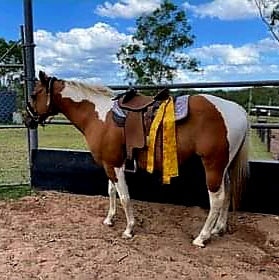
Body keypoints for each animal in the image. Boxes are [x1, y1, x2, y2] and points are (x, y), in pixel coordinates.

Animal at [24, 71, 249, 247]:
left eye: (34, 94)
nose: (27, 120)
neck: (98, 115)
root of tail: (238, 111)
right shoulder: (110, 164)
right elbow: (111, 191)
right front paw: (109, 219)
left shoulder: (114, 165)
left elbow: (124, 196)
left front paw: (129, 229)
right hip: (224, 167)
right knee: (228, 193)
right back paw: (219, 228)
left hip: (213, 166)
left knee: (217, 199)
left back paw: (202, 237)